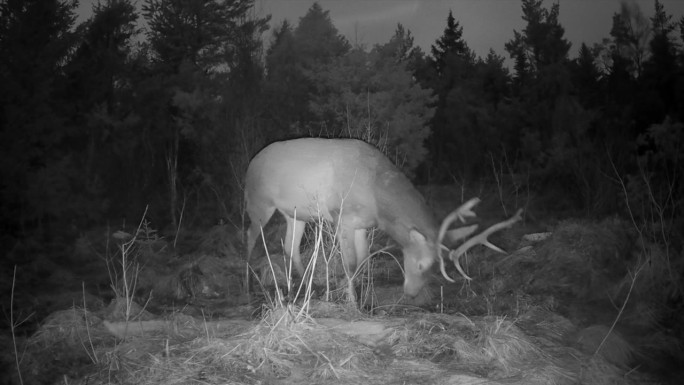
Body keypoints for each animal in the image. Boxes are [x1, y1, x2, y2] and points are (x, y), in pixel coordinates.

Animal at [243, 137, 520, 296]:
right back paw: (248, 281)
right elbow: (349, 263)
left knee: (290, 246)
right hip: (259, 202)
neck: (376, 196)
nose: (411, 295)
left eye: (434, 271)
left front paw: (353, 293)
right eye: (421, 264)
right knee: (249, 235)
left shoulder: (363, 224)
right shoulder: (341, 215)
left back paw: (302, 285)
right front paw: (351, 302)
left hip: (296, 213)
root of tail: (251, 163)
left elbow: (364, 259)